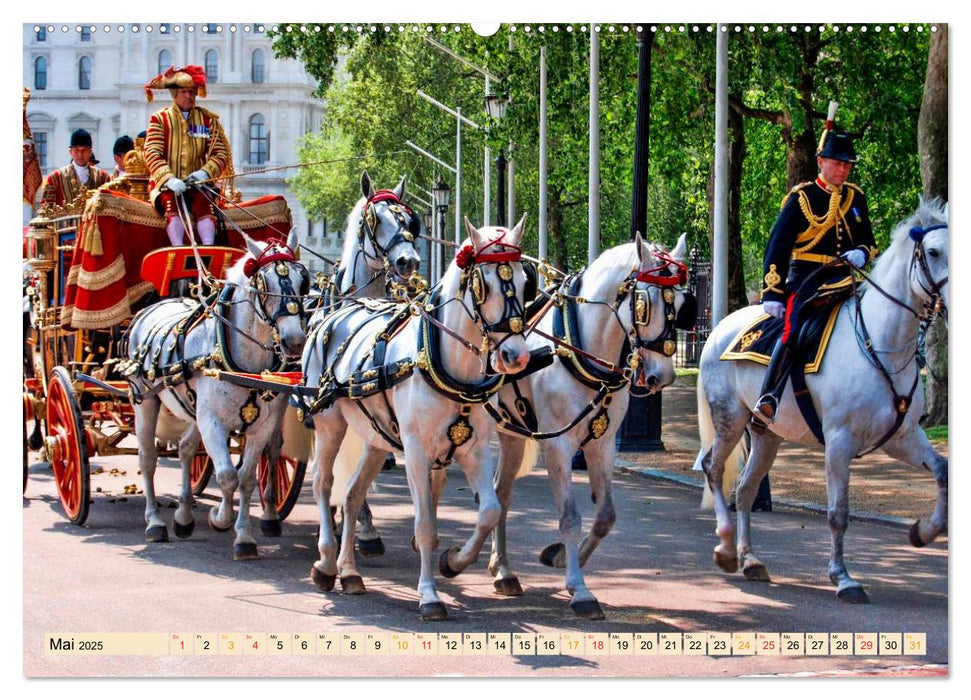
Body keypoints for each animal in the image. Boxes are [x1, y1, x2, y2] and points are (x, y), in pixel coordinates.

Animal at [121, 232, 310, 560]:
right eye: (265, 283)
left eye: (303, 281)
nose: (295, 342)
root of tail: (150, 308)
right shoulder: (212, 422)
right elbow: (226, 476)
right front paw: (220, 519)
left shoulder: (260, 426)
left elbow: (245, 479)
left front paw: (244, 537)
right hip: (145, 400)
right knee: (148, 458)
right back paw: (155, 522)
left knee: (185, 449)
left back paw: (184, 516)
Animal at [304, 215, 532, 616]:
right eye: (483, 285)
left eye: (524, 281)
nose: (515, 356)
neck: (441, 359)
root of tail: (335, 313)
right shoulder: (414, 451)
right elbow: (425, 523)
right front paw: (429, 595)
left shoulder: (474, 450)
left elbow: (489, 511)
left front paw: (454, 561)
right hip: (330, 425)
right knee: (323, 482)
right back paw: (327, 562)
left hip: (376, 439)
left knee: (352, 494)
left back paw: (350, 572)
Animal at [486, 235, 692, 616]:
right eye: (644, 303)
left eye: (683, 303)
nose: (663, 376)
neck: (578, 347)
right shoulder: (557, 445)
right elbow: (570, 516)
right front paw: (580, 590)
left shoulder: (602, 444)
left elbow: (605, 515)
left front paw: (561, 559)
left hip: (512, 434)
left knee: (500, 493)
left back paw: (502, 568)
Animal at [700, 201, 948, 600]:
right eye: (935, 252)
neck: (881, 343)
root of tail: (721, 326)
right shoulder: (839, 441)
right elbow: (838, 513)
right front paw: (843, 577)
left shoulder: (902, 438)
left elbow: (942, 470)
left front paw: (923, 532)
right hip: (729, 420)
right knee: (713, 467)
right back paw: (725, 548)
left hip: (767, 433)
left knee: (746, 487)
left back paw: (750, 560)